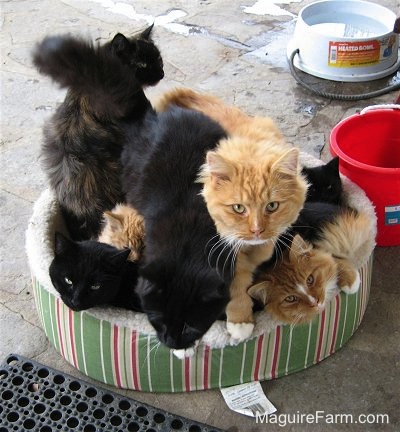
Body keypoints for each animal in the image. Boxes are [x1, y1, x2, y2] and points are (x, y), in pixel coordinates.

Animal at [159, 88, 306, 340]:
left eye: (272, 206)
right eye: (238, 208)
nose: (257, 230)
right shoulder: (224, 249)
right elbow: (237, 284)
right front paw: (240, 321)